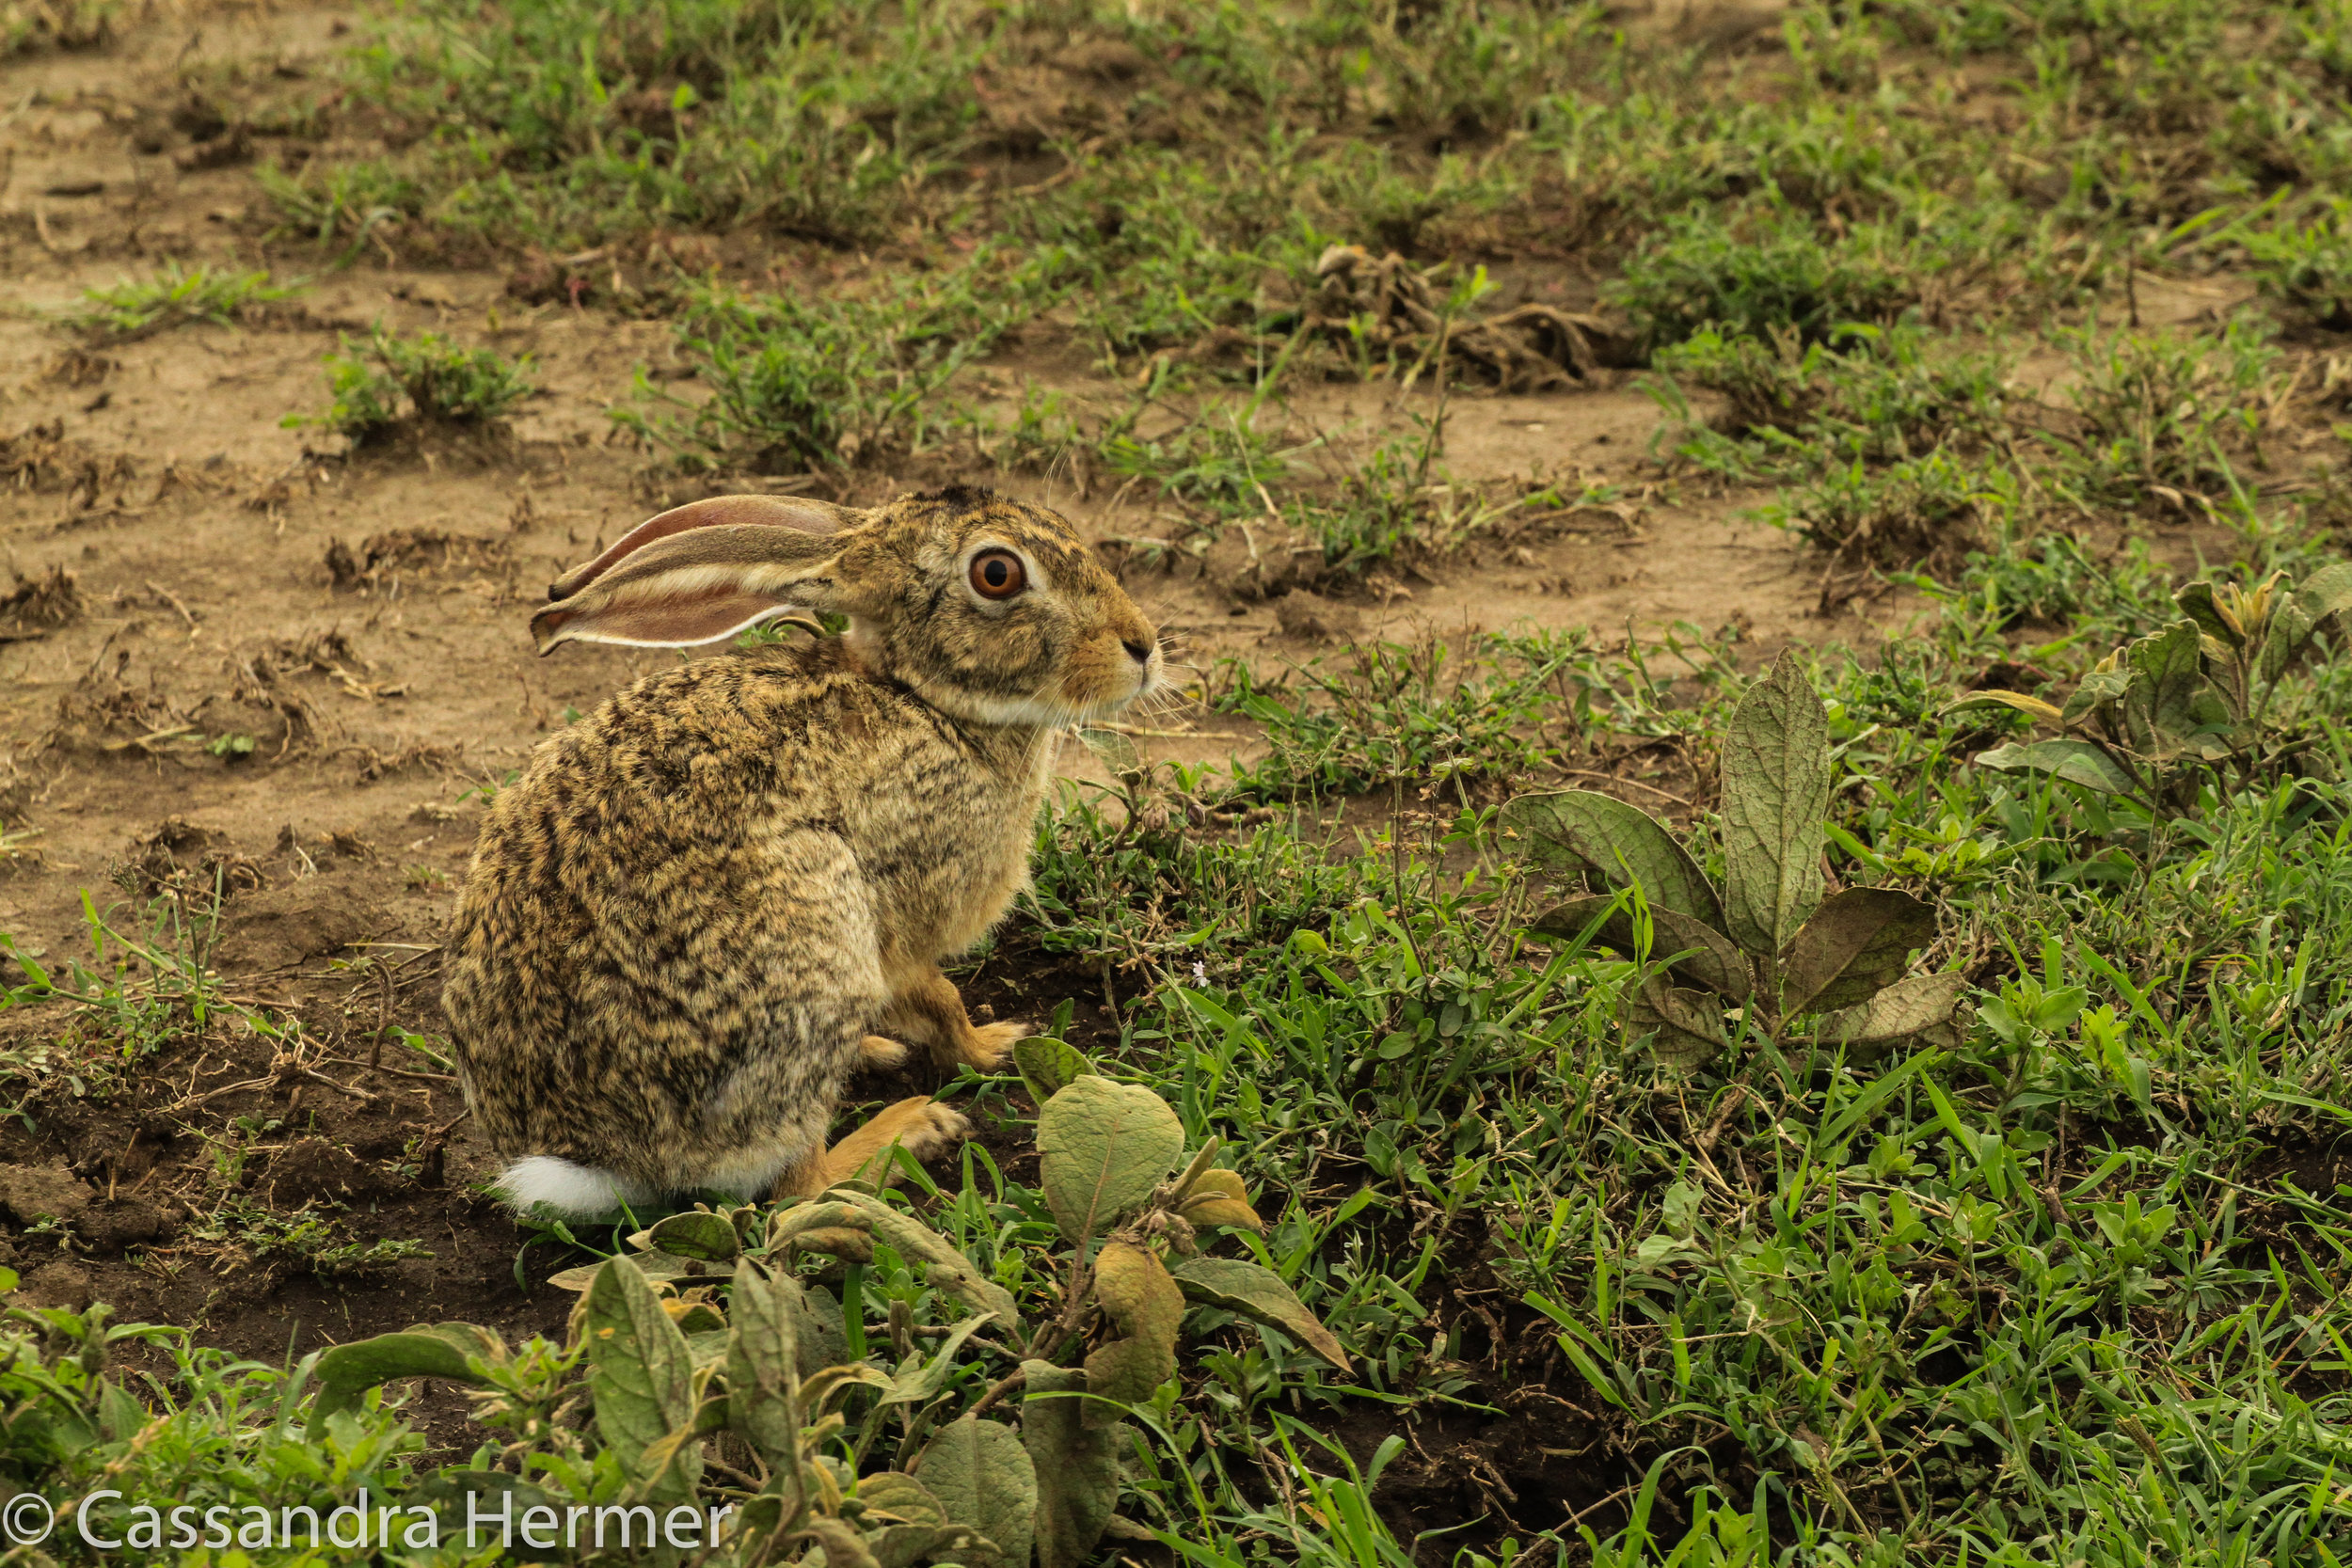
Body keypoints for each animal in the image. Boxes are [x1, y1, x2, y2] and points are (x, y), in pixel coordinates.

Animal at [441, 485, 1163, 1217]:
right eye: (998, 574)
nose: (1142, 646)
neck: (923, 699)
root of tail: (598, 1158)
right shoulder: (903, 913)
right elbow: (940, 996)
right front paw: (992, 1046)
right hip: (815, 958)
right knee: (797, 1188)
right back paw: (910, 1128)